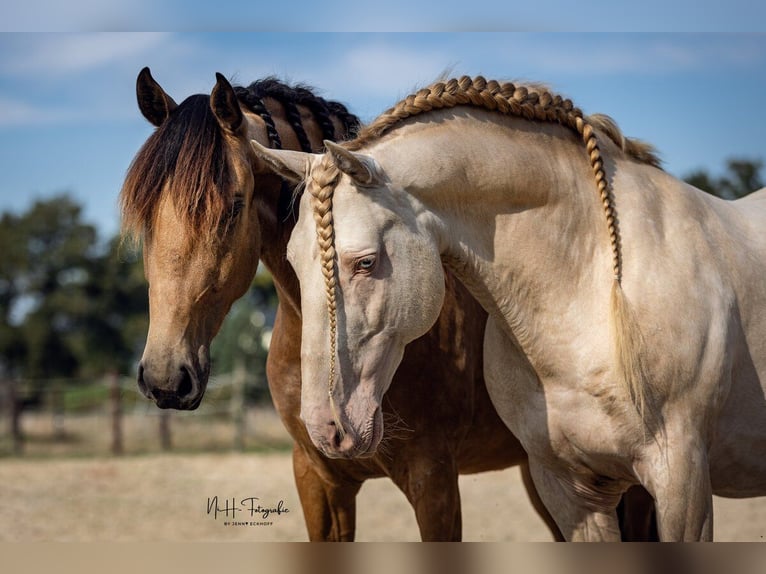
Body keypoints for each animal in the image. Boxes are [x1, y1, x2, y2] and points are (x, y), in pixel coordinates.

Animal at [258, 77, 766, 544]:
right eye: (293, 264)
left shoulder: (682, 483)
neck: (592, 300)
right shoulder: (568, 490)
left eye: (365, 262)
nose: (325, 428)